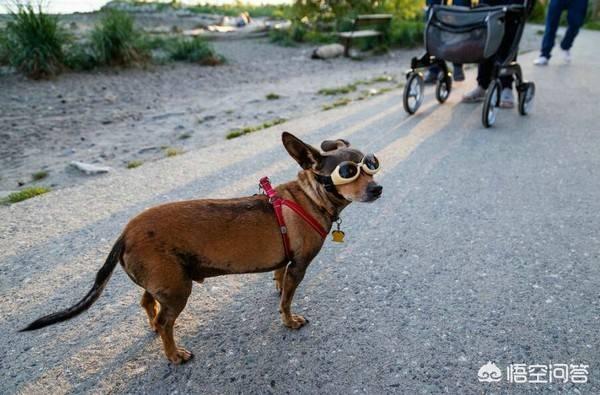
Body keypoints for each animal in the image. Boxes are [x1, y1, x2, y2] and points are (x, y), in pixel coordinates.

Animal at [23, 133, 382, 366]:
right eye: (347, 172)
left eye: (371, 165)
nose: (378, 188)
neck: (308, 197)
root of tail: (124, 233)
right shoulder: (300, 265)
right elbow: (287, 300)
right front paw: (289, 319)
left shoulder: (286, 260)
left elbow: (279, 279)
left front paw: (277, 289)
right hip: (178, 289)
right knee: (166, 322)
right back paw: (173, 354)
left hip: (166, 281)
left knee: (147, 302)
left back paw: (154, 329)